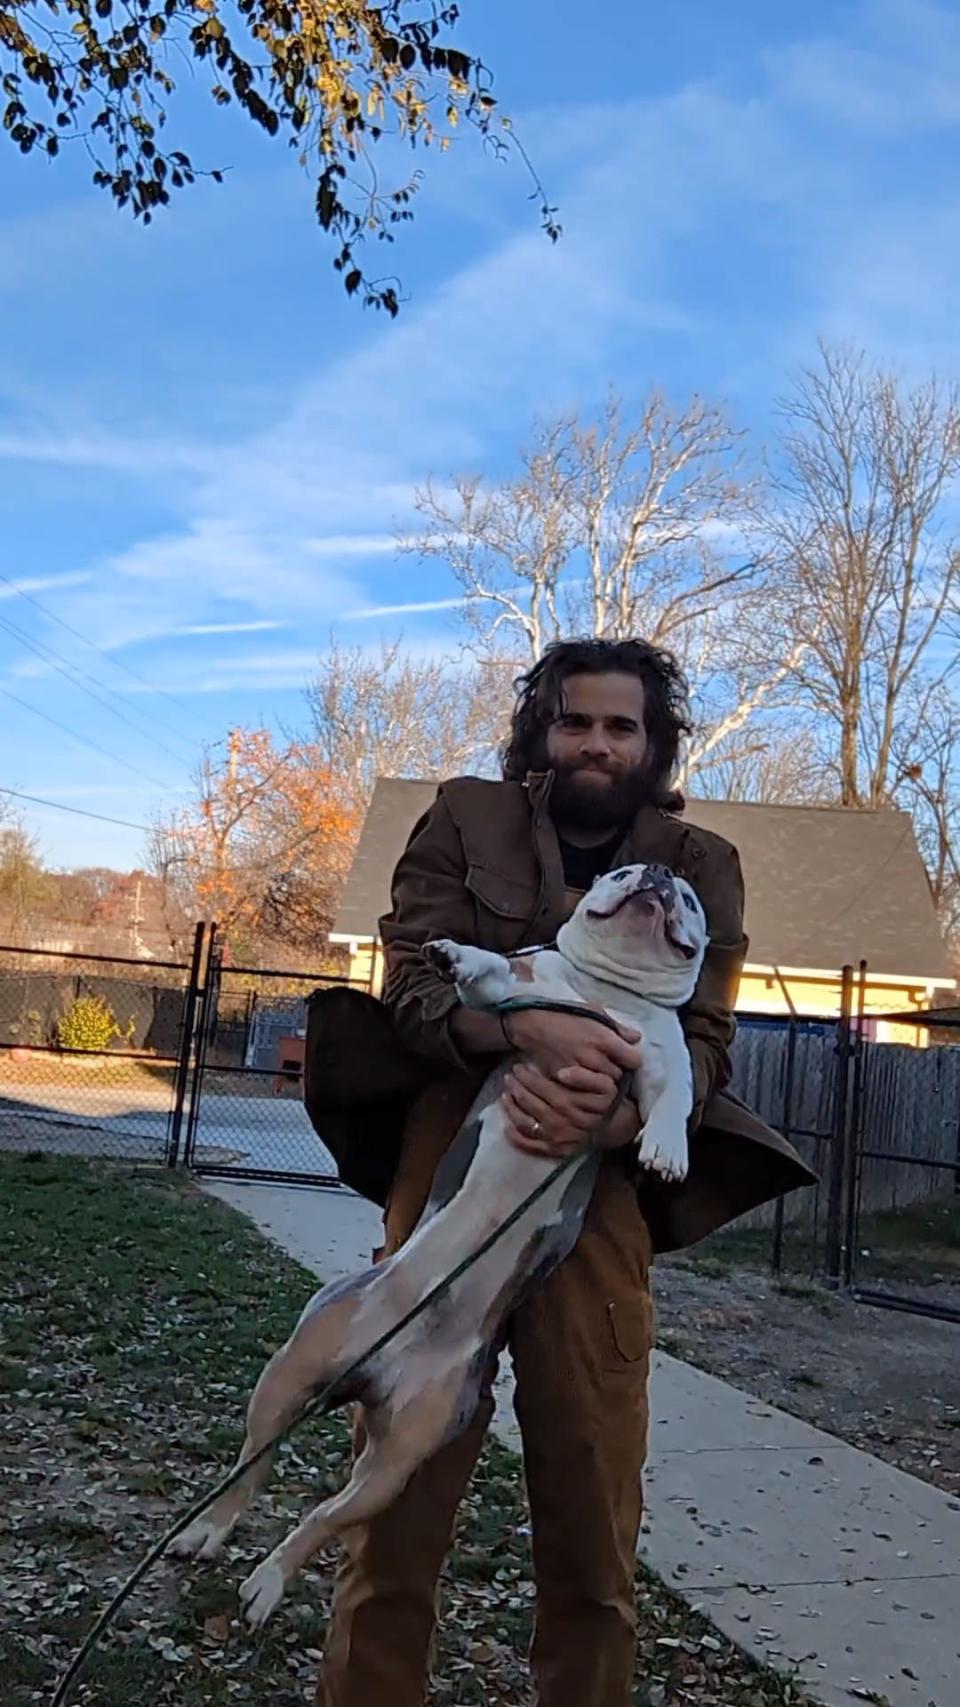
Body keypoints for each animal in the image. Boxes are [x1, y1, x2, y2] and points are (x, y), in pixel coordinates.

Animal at [169, 867, 703, 1625]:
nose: (656, 874)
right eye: (623, 873)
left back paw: (268, 1581)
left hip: (398, 1457)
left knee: (321, 1517)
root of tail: (377, 1366)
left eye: (687, 898)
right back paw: (210, 1533)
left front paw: (667, 1148)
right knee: (254, 1465)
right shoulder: (525, 992)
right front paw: (455, 955)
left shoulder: (656, 1064)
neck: (609, 994)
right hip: (286, 1376)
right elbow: (493, 975)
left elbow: (675, 1099)